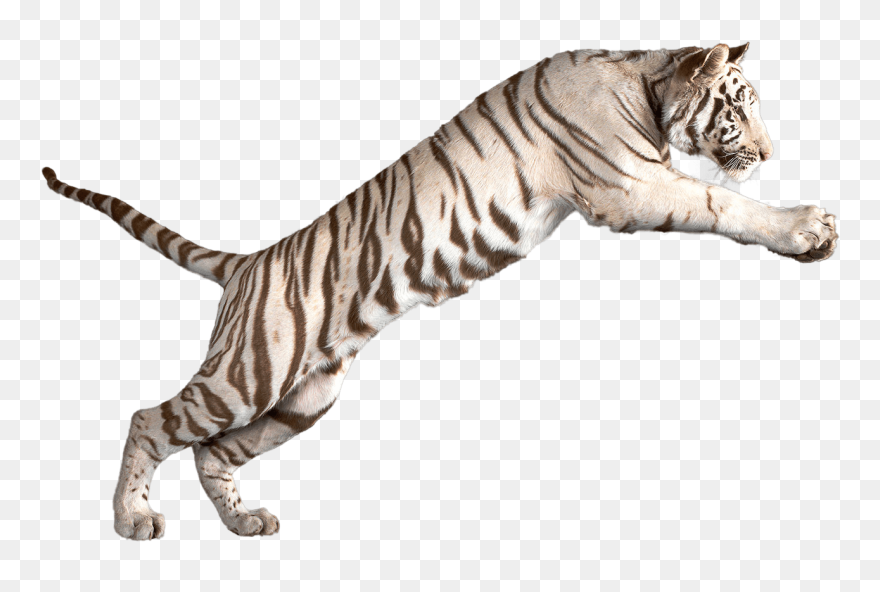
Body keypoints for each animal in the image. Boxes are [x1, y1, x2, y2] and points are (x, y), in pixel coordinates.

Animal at [41, 43, 838, 540]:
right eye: (738, 107)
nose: (768, 151)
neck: (646, 83)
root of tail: (248, 263)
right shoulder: (631, 186)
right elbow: (721, 202)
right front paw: (806, 226)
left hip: (303, 399)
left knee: (213, 452)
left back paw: (244, 522)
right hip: (247, 373)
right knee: (149, 420)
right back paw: (130, 520)